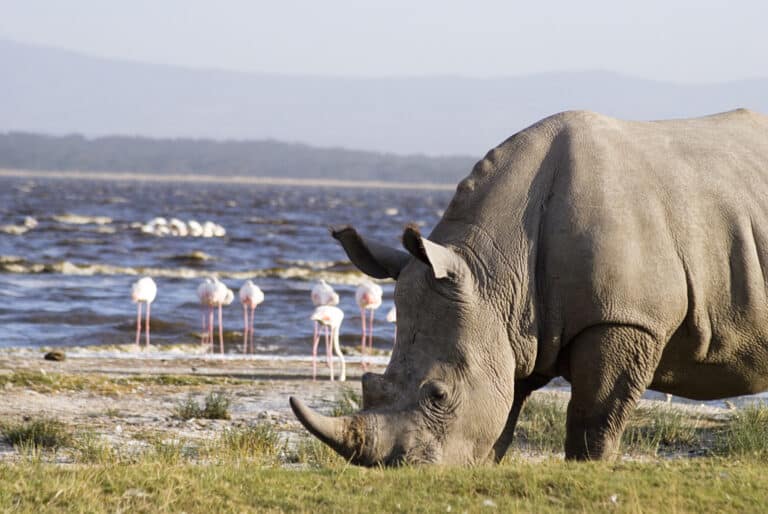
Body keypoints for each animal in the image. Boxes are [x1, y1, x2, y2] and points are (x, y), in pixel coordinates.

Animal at [290, 108, 768, 465]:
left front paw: (587, 471)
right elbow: (503, 413)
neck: (494, 273)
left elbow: (594, 417)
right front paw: (480, 468)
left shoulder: (627, 319)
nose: (398, 470)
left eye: (439, 394)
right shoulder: (509, 325)